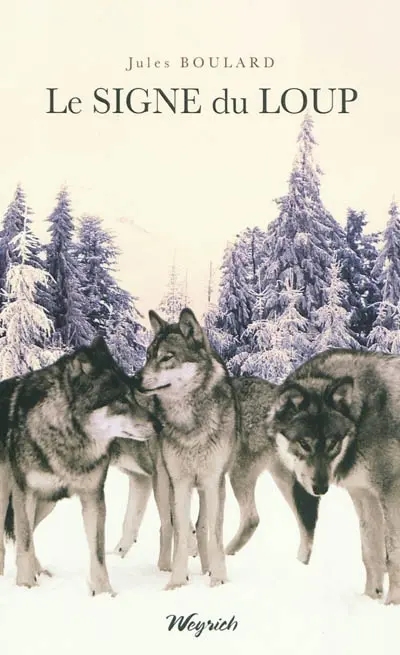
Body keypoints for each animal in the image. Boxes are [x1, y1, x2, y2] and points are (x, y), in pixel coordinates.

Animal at [0, 336, 158, 595]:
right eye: (121, 399)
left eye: (135, 396)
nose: (159, 425)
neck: (67, 436)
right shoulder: (25, 493)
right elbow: (24, 541)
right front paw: (26, 586)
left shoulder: (93, 496)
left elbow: (98, 554)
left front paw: (104, 594)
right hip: (9, 495)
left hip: (48, 502)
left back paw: (40, 571)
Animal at [269, 348, 400, 605]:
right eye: (305, 444)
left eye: (332, 443)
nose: (321, 489)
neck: (364, 415)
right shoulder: (364, 494)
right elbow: (371, 554)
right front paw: (370, 599)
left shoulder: (391, 494)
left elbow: (393, 557)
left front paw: (391, 604)